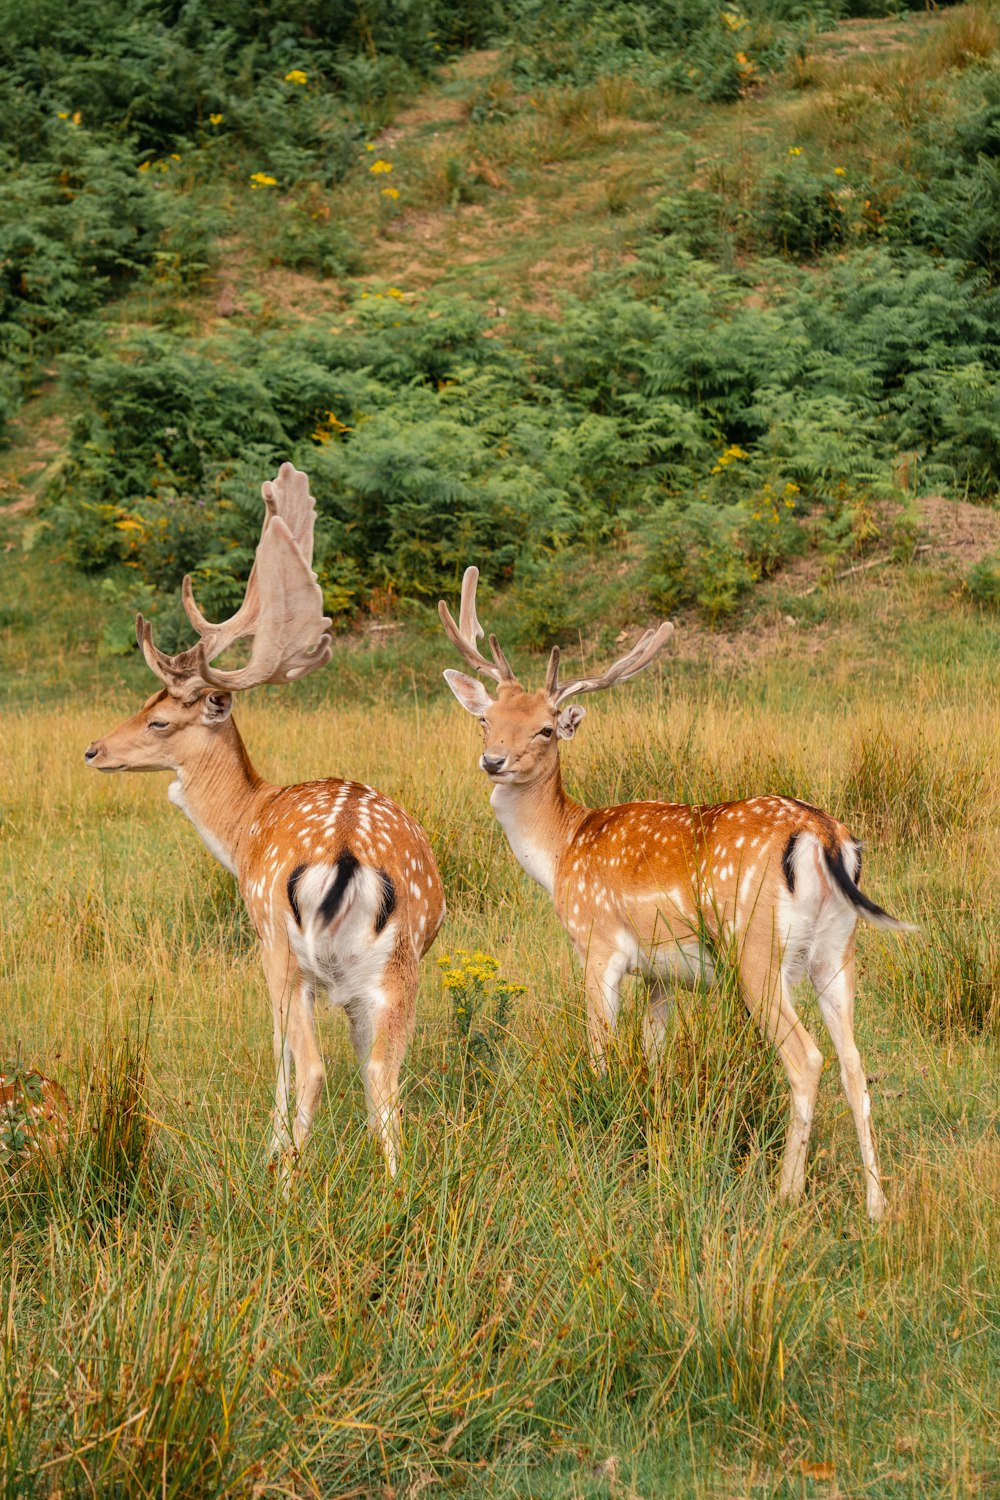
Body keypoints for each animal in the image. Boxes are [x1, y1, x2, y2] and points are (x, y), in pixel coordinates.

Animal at [83, 462, 443, 1176]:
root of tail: (347, 856)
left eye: (159, 720)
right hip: (402, 959)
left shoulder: (260, 936)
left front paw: (273, 1151)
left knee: (310, 1068)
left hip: (284, 947)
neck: (247, 822)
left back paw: (282, 1180)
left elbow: (281, 1061)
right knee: (384, 1075)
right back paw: (396, 1187)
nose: (94, 750)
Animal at [437, 564, 917, 1218]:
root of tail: (824, 835)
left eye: (545, 728)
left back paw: (785, 1192)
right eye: (487, 718)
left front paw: (603, 1121)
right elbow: (654, 1053)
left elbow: (600, 1047)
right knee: (856, 1066)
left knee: (806, 1058)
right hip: (838, 952)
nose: (493, 761)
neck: (562, 849)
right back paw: (876, 1207)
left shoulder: (599, 943)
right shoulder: (662, 973)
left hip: (755, 948)